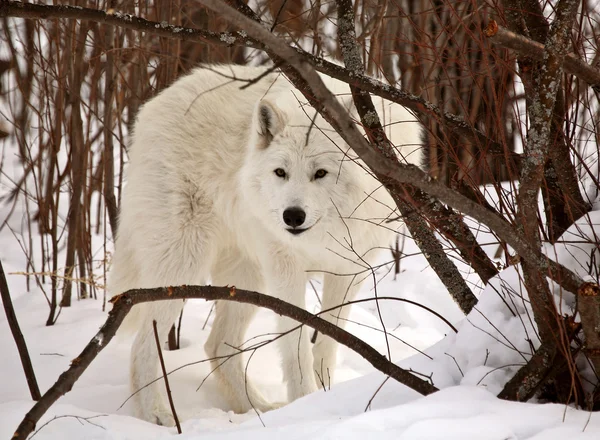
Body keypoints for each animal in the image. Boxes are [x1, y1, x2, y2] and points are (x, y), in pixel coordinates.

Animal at [111, 63, 422, 424]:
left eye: (320, 173)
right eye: (280, 172)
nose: (293, 216)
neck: (323, 235)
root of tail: (151, 108)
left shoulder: (348, 272)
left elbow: (328, 342)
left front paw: (327, 398)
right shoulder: (286, 270)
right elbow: (297, 345)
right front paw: (306, 403)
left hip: (247, 280)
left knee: (218, 345)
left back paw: (256, 409)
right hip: (184, 267)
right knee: (144, 346)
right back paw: (159, 415)